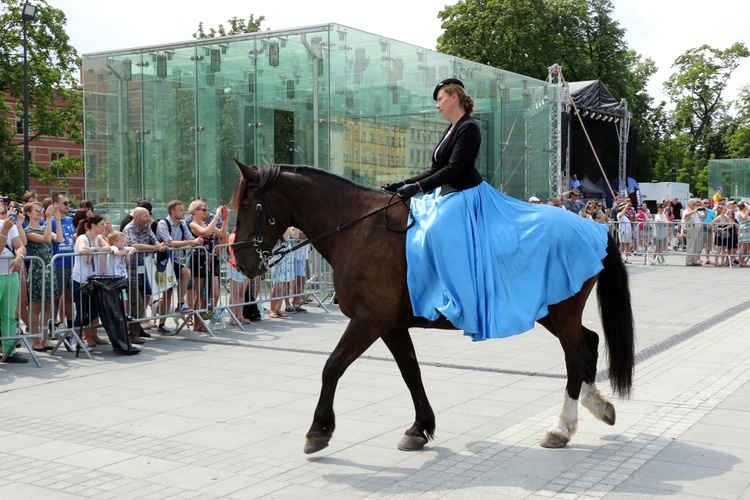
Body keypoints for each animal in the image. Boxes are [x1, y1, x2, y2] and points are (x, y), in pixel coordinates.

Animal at [229, 160, 636, 454]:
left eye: (248, 205)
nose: (240, 261)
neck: (358, 230)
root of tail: (595, 229)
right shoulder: (391, 325)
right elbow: (411, 372)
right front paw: (419, 428)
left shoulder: (369, 320)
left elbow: (333, 366)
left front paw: (318, 430)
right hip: (550, 311)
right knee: (589, 343)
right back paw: (597, 405)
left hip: (560, 311)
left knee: (575, 356)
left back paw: (560, 428)